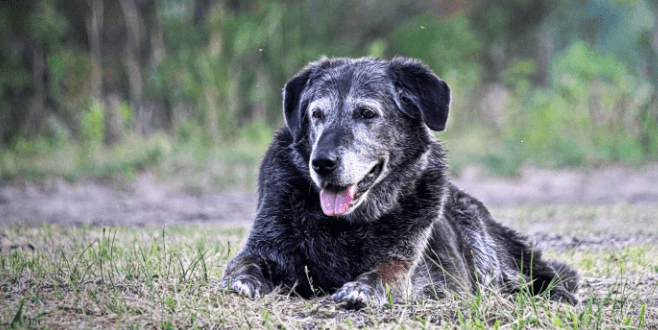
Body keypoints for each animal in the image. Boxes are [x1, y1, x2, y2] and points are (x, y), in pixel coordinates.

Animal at [219, 56, 576, 306]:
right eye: (316, 115)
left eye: (366, 113)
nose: (321, 163)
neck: (348, 225)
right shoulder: (264, 245)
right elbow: (243, 264)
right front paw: (244, 281)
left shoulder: (404, 264)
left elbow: (385, 274)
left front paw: (361, 289)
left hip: (482, 241)